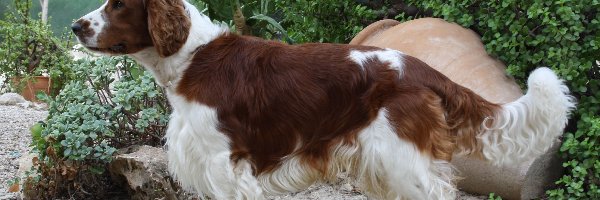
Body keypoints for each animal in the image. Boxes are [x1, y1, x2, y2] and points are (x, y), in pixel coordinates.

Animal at [72, 0, 576, 199]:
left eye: (118, 4)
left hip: (402, 159)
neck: (193, 57)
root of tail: (421, 67)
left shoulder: (226, 165)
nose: (76, 26)